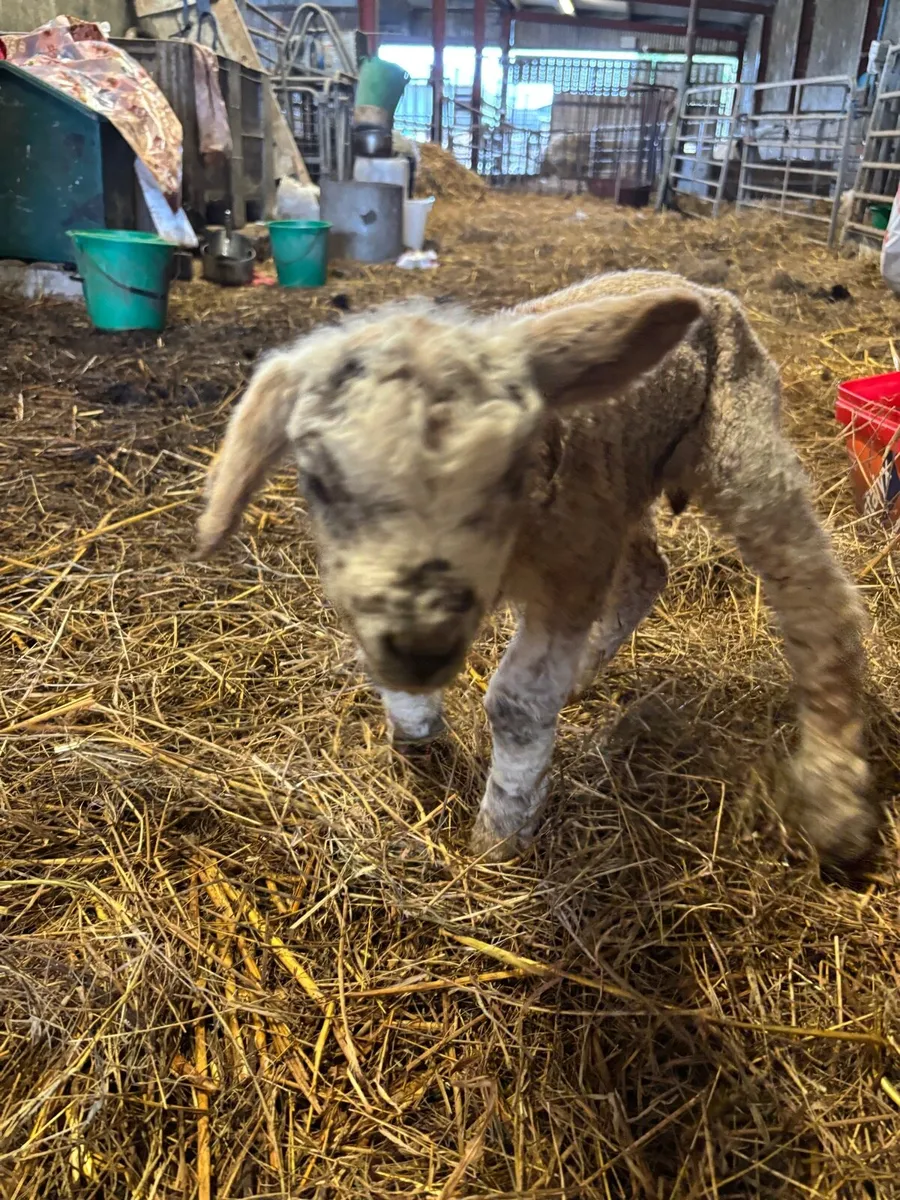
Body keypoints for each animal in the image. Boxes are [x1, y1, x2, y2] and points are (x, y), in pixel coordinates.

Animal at [195, 271, 876, 869]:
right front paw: (415, 728)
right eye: (320, 481)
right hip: (622, 483)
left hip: (738, 444)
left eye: (507, 471)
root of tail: (703, 289)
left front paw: (501, 833)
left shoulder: (569, 572)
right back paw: (586, 673)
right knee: (648, 569)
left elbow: (518, 704)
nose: (420, 651)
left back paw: (834, 803)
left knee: (818, 599)